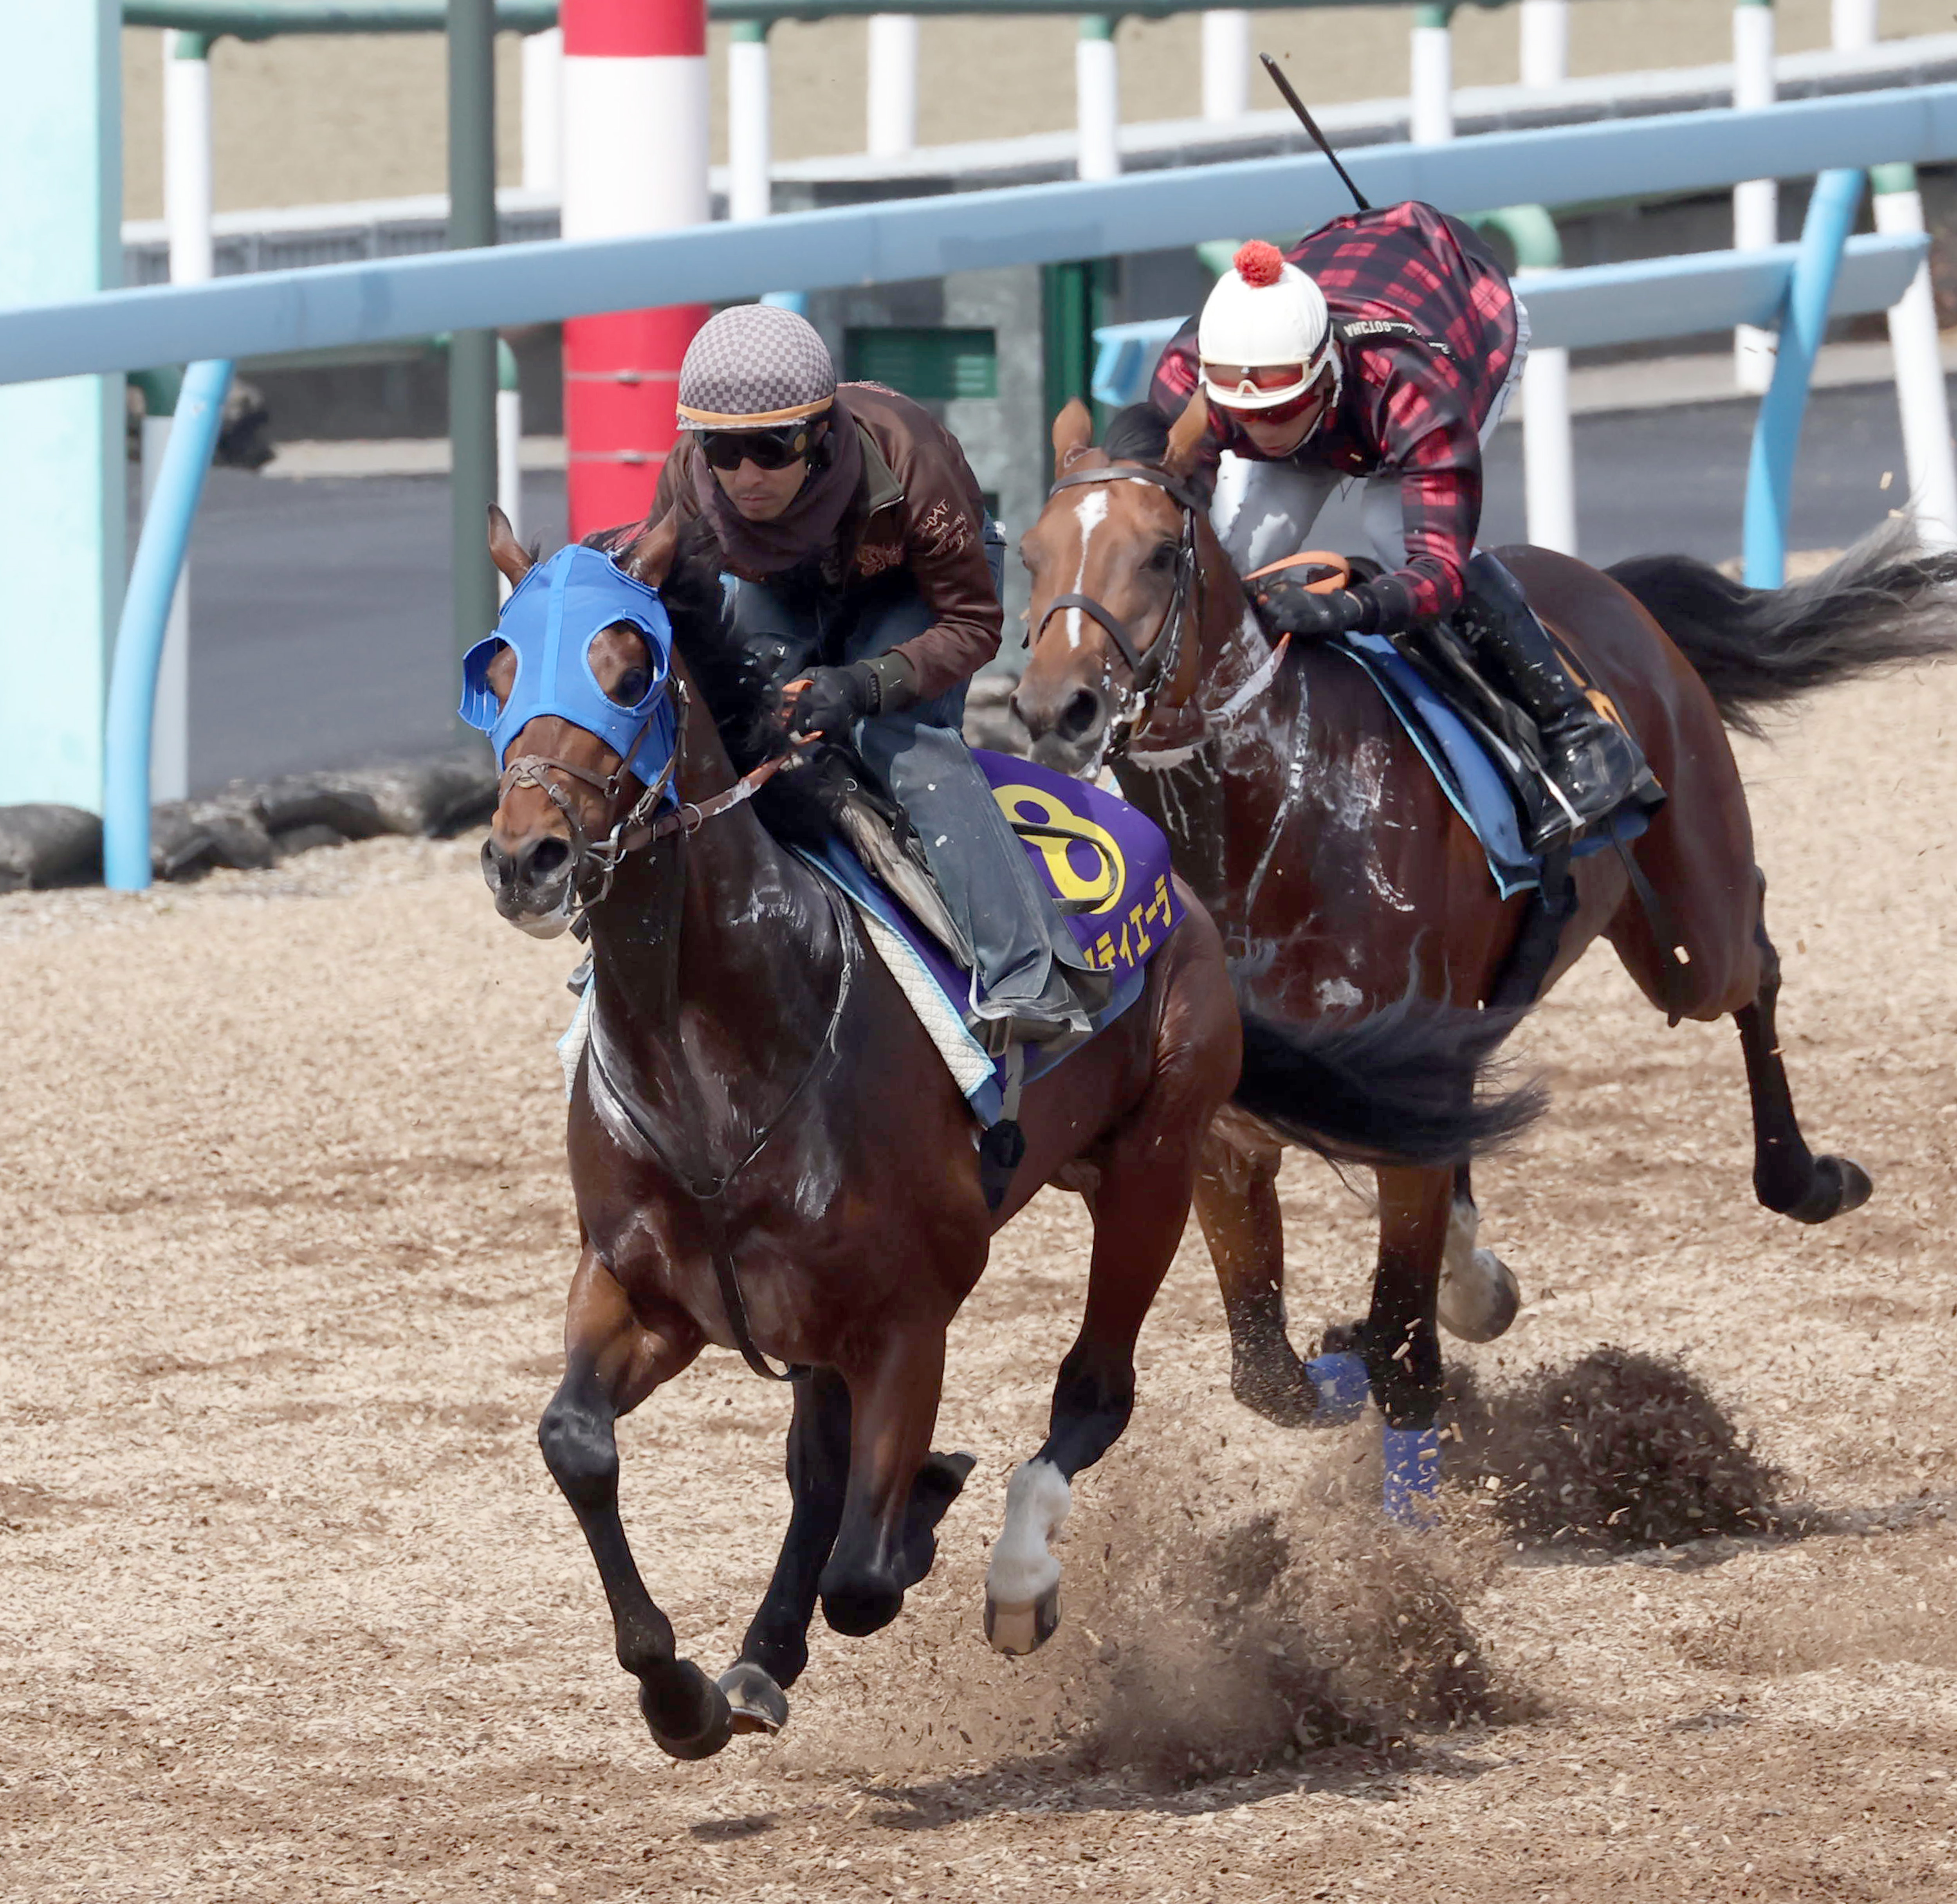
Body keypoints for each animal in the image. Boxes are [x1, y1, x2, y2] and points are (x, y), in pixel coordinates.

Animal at [468, 505, 1535, 1757]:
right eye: (496, 670)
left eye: (629, 668)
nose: (526, 856)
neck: (718, 1054)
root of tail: (1188, 902)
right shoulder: (641, 1287)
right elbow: (577, 1442)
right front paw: (678, 1691)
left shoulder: (905, 1317)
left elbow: (867, 1572)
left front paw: (930, 1507)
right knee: (819, 1466)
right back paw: (766, 1652)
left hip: (1157, 1165)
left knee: (1094, 1391)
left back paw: (1018, 1577)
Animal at [1011, 394, 1957, 1474]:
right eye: (1032, 551)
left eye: (1163, 553)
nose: (1055, 708)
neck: (1265, 821)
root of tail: (1603, 584)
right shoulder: (1221, 1129)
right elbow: (1271, 1373)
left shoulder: (1404, 1078)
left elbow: (1398, 1359)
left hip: (1690, 929)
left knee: (1750, 960)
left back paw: (1807, 1176)